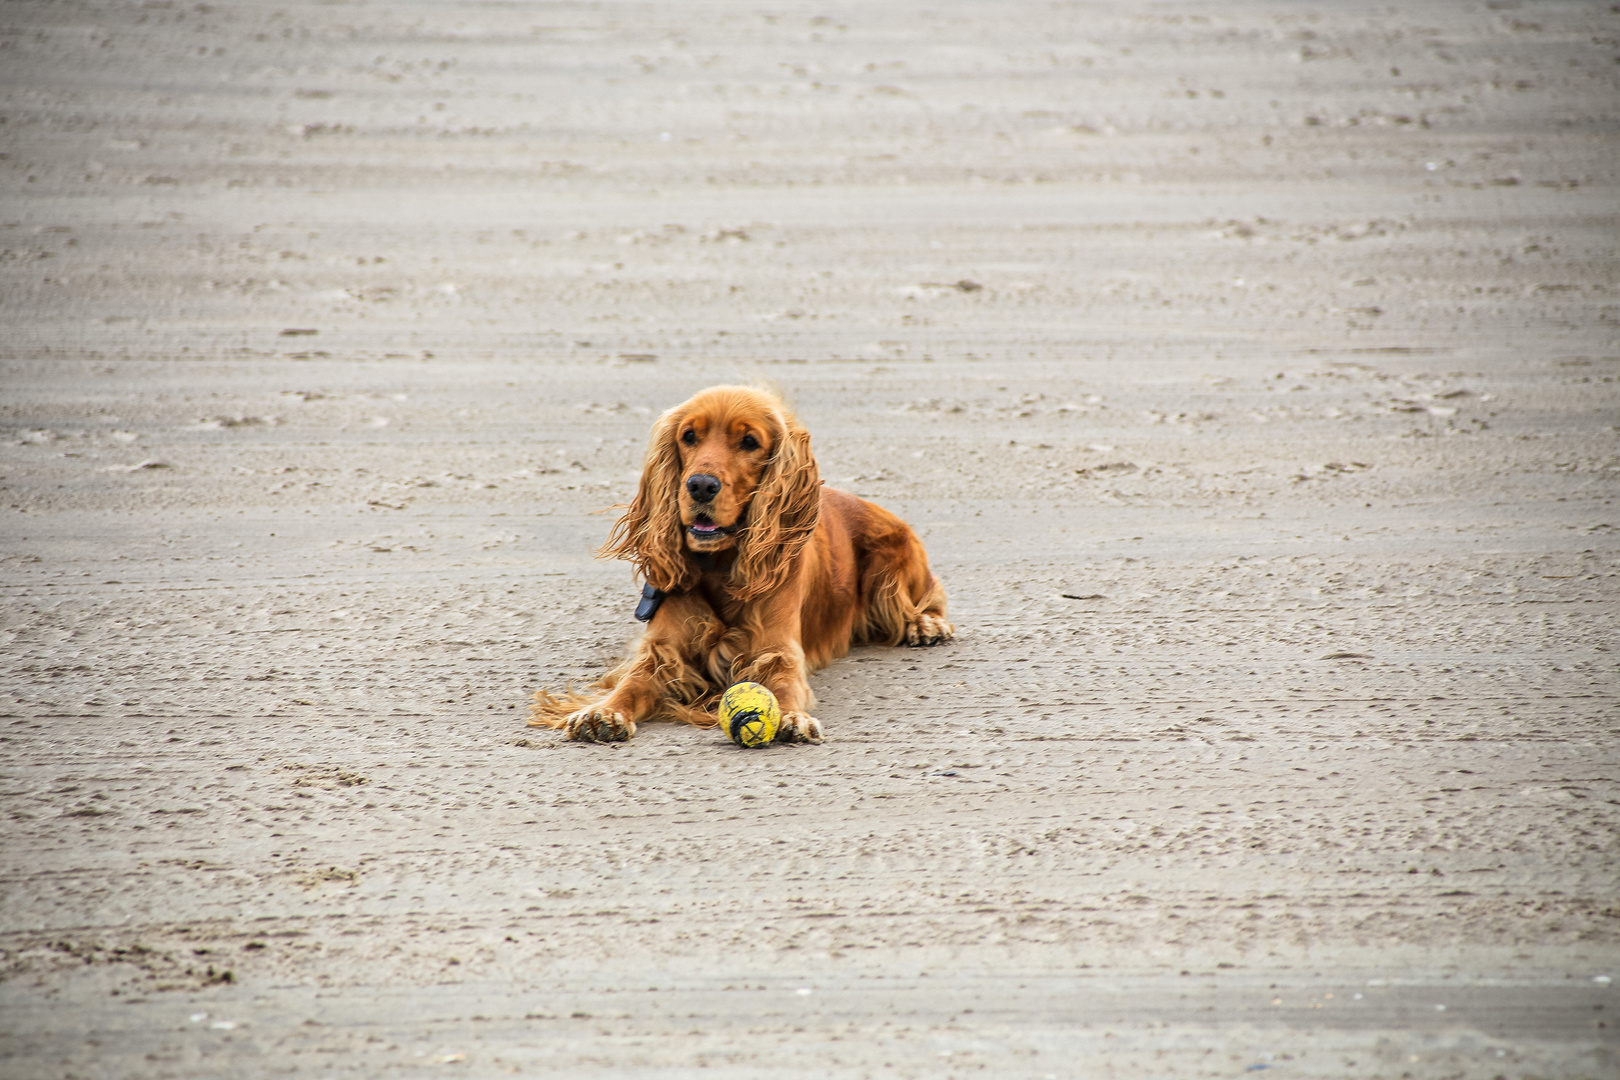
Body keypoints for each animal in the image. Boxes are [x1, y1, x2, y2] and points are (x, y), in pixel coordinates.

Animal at [531, 386, 946, 744]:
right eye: (689, 436)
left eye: (749, 442)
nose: (700, 485)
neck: (719, 565)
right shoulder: (663, 652)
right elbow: (631, 683)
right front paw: (603, 713)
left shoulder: (777, 651)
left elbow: (782, 686)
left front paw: (791, 717)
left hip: (891, 565)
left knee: (928, 595)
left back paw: (926, 624)